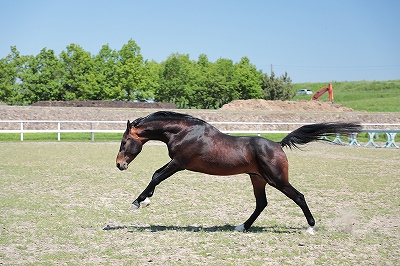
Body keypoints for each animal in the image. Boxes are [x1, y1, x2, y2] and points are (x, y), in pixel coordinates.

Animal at [115, 110, 362, 233]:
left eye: (125, 141)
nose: (119, 165)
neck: (184, 132)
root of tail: (278, 144)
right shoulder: (177, 163)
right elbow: (156, 175)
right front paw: (144, 201)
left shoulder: (178, 163)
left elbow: (156, 176)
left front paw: (138, 202)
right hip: (258, 179)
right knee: (261, 203)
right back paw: (242, 226)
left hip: (277, 180)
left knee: (299, 197)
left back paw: (311, 227)